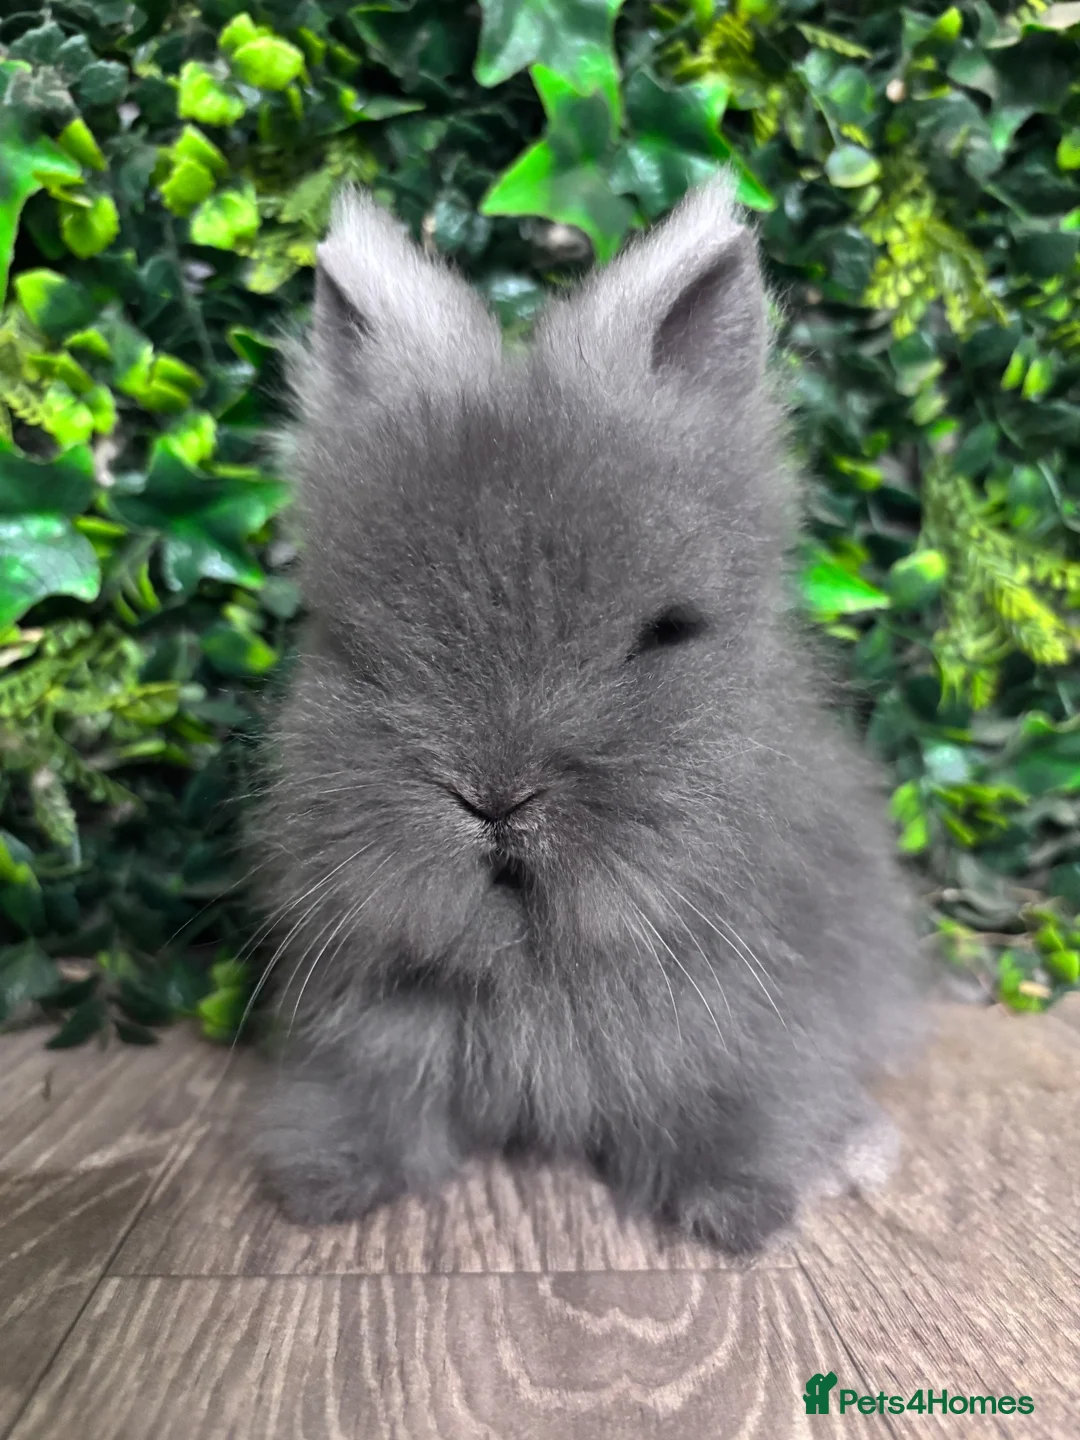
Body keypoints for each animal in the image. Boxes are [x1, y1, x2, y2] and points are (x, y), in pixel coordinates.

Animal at [248, 177, 922, 1256]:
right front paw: (328, 1181)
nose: (493, 799)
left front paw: (736, 1206)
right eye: (355, 644)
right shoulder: (373, 1037)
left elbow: (729, 1106)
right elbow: (380, 1105)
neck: (537, 968)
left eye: (666, 633)